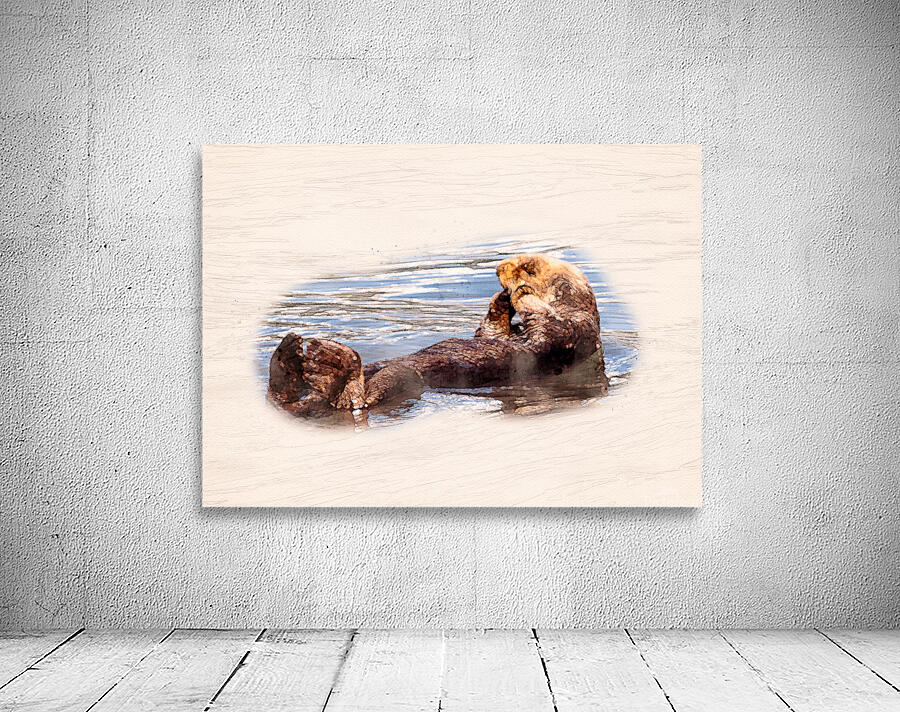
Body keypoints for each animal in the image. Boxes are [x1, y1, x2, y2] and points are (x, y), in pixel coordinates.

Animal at [267, 255, 609, 418]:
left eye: (528, 266)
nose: (499, 267)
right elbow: (491, 330)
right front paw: (500, 301)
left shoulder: (570, 332)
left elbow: (546, 324)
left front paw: (522, 292)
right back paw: (287, 358)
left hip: (402, 380)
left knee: (357, 401)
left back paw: (333, 370)